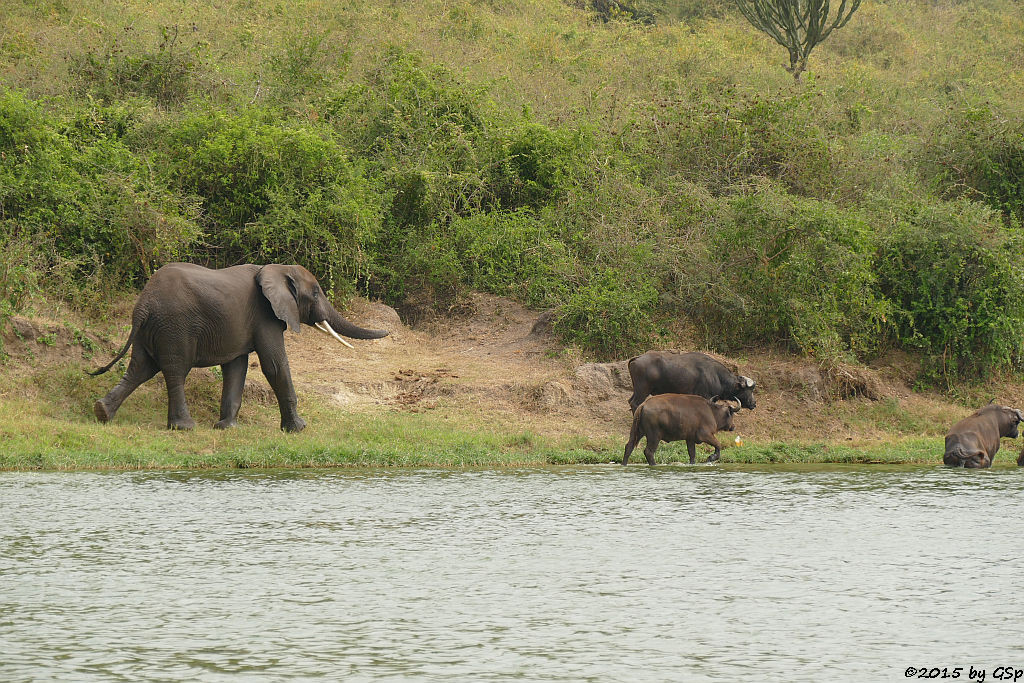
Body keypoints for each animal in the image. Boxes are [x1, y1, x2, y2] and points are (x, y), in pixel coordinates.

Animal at [90, 264, 387, 432]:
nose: (388, 332)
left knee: (140, 368)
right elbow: (275, 365)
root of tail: (143, 304)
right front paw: (298, 429)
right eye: (315, 293)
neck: (278, 268)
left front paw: (226, 428)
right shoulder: (266, 315)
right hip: (175, 326)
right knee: (175, 371)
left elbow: (237, 367)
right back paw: (184, 428)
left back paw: (102, 412)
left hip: (150, 329)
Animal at [626, 350, 757, 413]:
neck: (716, 376)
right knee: (635, 403)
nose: (753, 403)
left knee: (630, 401)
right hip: (643, 390)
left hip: (637, 389)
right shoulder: (705, 397)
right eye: (749, 390)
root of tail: (637, 358)